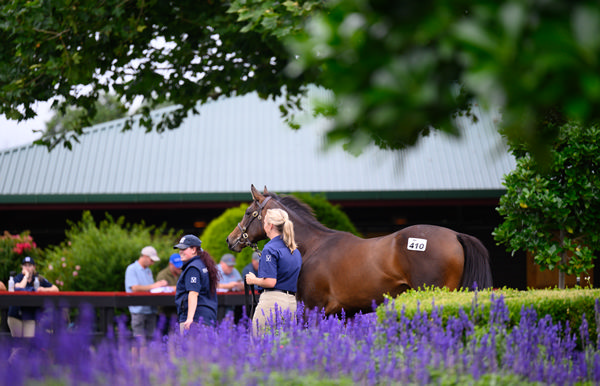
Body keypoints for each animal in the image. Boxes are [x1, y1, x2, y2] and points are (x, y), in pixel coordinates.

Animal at [225, 186, 492, 316]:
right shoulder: (345, 313)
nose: (231, 239)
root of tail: (456, 235)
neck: (313, 246)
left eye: (248, 212)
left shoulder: (312, 309)